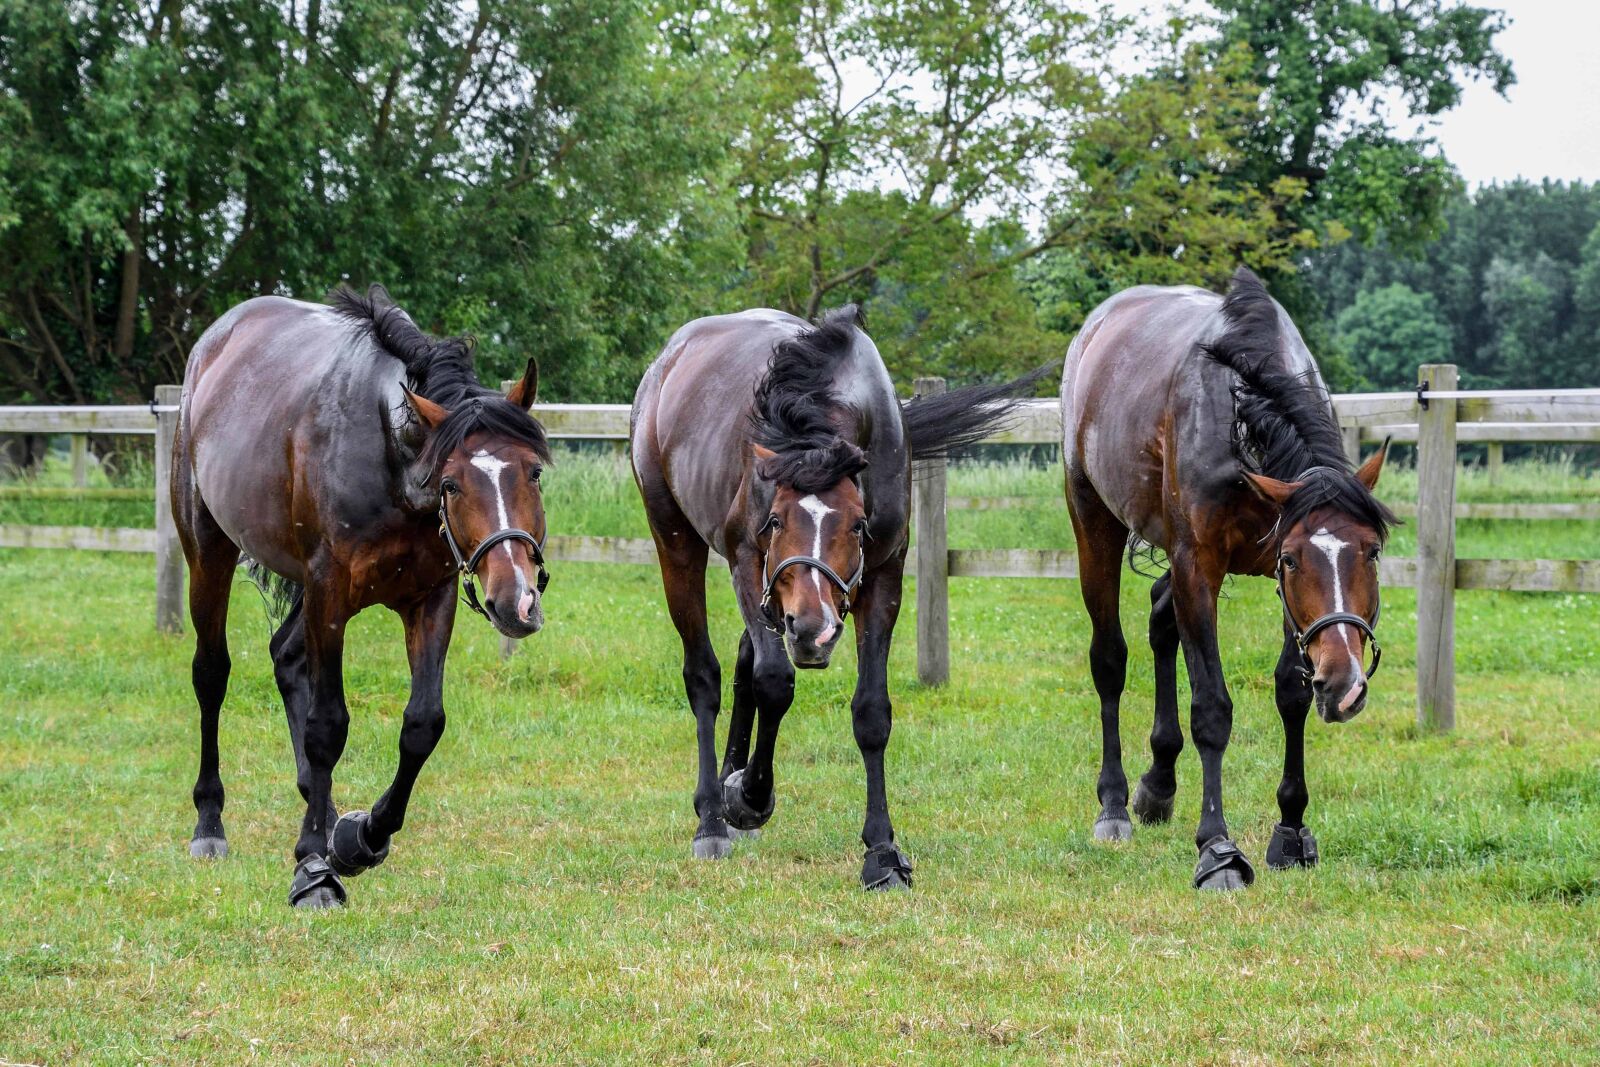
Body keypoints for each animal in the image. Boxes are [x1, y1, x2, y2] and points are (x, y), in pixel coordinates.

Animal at [173, 286, 551, 909]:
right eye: (452, 484)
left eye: (535, 473)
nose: (514, 598)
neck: (390, 461)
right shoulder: (329, 592)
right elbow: (328, 727)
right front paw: (312, 869)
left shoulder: (430, 600)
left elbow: (423, 724)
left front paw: (359, 838)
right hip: (209, 551)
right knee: (210, 674)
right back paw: (211, 823)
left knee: (285, 657)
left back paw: (323, 816)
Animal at [631, 306, 1040, 889]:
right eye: (776, 520)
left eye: (858, 525)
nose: (813, 629)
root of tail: (668, 360)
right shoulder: (747, 563)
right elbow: (774, 683)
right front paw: (750, 800)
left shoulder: (883, 577)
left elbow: (871, 712)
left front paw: (883, 854)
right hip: (677, 544)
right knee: (704, 675)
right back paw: (713, 816)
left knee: (743, 658)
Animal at [1061, 268, 1396, 890]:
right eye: (1293, 560)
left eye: (1372, 552)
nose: (1345, 684)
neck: (1243, 410)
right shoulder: (1199, 566)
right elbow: (1212, 709)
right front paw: (1217, 849)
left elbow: (1292, 692)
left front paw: (1291, 830)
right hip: (1093, 520)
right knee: (1110, 659)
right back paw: (1115, 805)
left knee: (1160, 618)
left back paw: (1158, 784)